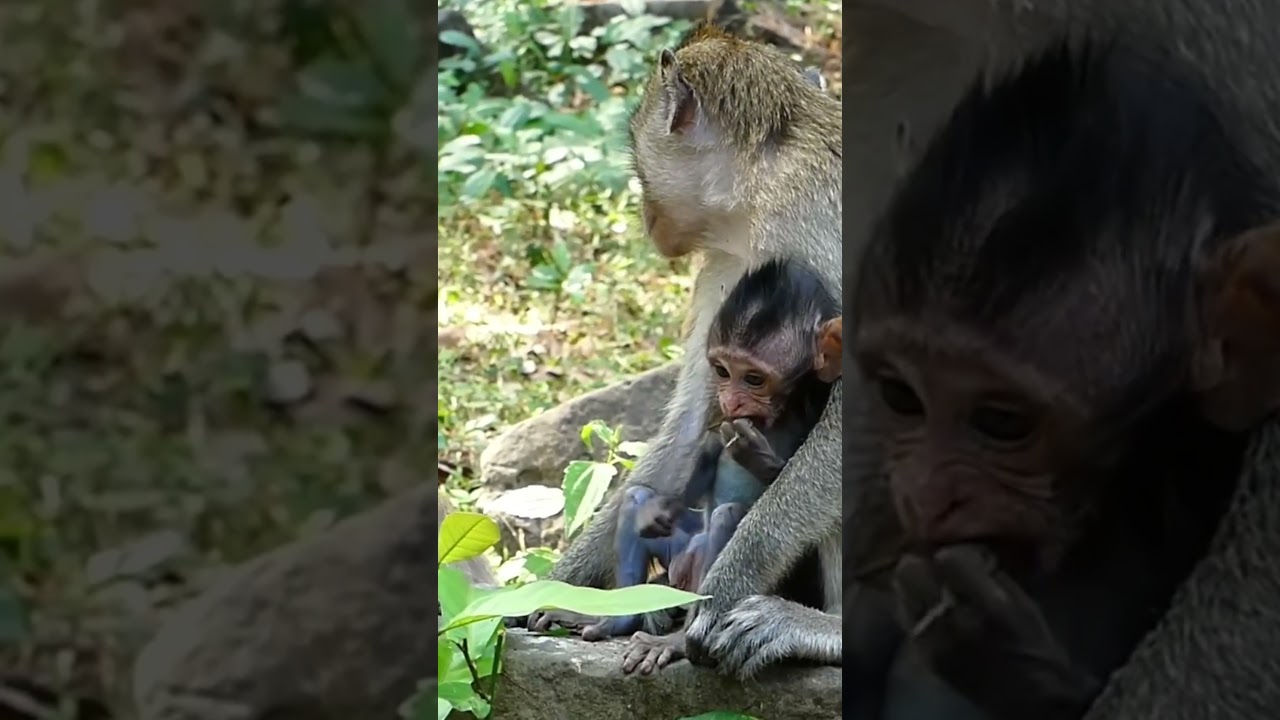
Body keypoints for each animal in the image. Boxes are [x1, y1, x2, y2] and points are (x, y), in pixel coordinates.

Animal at [523, 23, 845, 679]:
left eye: (639, 163)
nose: (645, 217)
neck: (764, 186)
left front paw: (713, 604)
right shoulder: (729, 264)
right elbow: (695, 421)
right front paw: (569, 593)